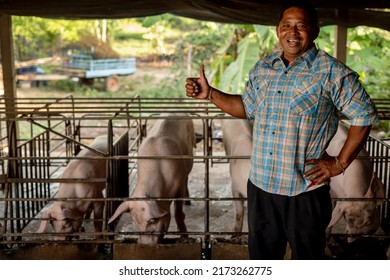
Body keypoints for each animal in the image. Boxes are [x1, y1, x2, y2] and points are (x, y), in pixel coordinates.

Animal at [107, 112, 195, 244]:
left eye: (152, 222)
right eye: (136, 224)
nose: (144, 244)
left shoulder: (179, 183)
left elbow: (178, 213)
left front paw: (185, 237)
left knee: (187, 178)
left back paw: (188, 202)